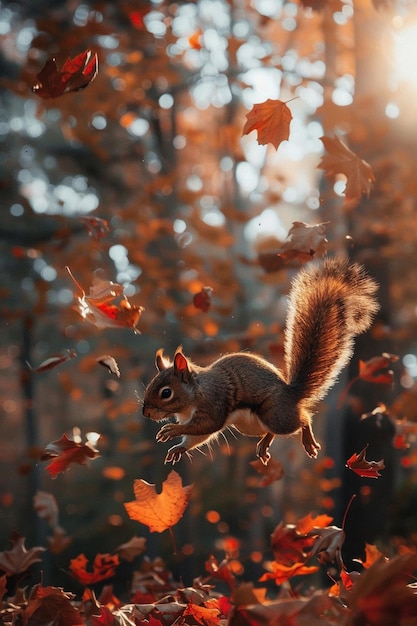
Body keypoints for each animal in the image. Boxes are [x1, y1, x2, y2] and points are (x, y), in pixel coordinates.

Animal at [142, 255, 376, 464]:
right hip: (249, 426)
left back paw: (308, 441)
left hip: (275, 415)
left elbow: (206, 426)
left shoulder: (214, 403)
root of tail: (293, 394)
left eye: (166, 393)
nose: (146, 413)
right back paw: (264, 445)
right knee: (271, 431)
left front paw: (173, 430)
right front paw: (179, 448)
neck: (193, 396)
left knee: (302, 419)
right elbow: (197, 437)